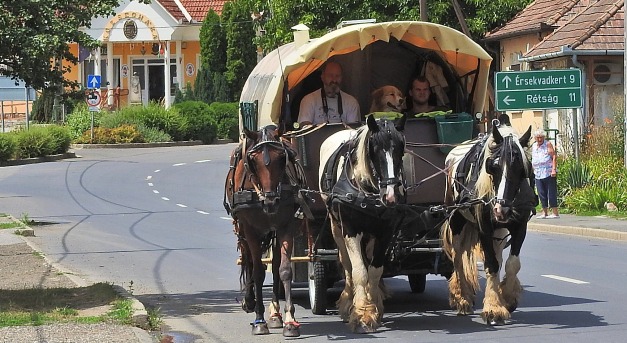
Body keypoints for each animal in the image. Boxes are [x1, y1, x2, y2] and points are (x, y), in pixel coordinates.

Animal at [224, 125, 308, 338]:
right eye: (253, 160)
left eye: (282, 157)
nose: (271, 201)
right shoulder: (250, 229)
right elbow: (257, 271)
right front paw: (259, 319)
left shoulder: (285, 226)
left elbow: (284, 270)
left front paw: (289, 320)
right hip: (243, 230)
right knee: (248, 259)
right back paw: (249, 300)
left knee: (275, 263)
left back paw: (276, 314)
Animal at [318, 115, 408, 334]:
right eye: (374, 150)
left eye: (401, 149)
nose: (391, 196)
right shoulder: (350, 230)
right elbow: (359, 271)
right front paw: (360, 313)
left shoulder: (385, 232)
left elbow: (374, 271)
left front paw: (373, 308)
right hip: (336, 227)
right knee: (347, 264)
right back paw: (347, 302)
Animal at [440, 115, 536, 326]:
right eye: (493, 166)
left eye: (522, 168)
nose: (501, 208)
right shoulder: (484, 227)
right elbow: (490, 265)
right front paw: (493, 308)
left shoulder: (520, 225)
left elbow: (511, 264)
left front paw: (506, 298)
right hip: (457, 220)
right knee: (457, 257)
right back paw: (462, 298)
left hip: (499, 232)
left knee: (498, 257)